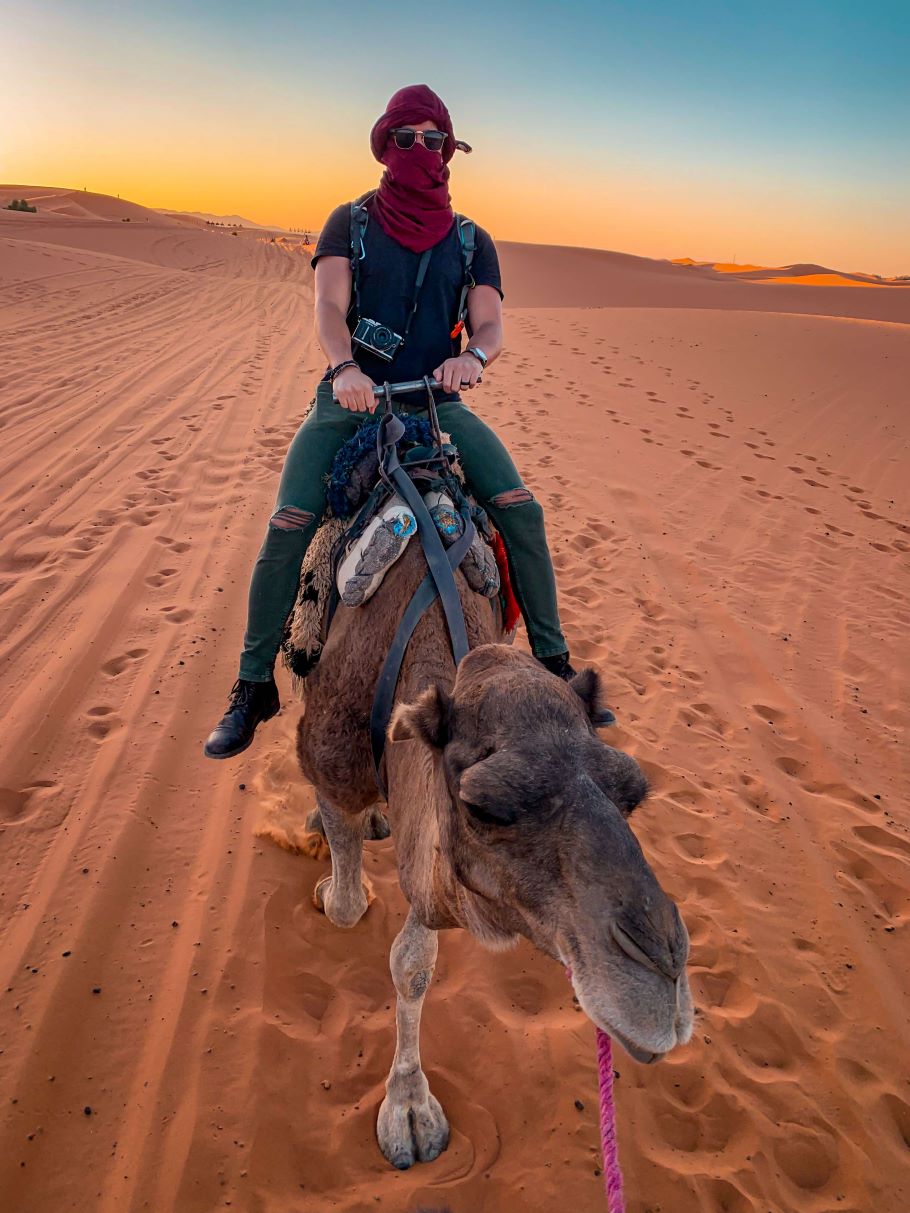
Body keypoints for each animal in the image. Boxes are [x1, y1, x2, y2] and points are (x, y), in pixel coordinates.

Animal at [296, 545, 694, 1169]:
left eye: (633, 792)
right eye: (483, 806)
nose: (664, 975)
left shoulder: (434, 850)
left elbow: (413, 963)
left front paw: (409, 1106)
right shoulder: (331, 756)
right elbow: (345, 909)